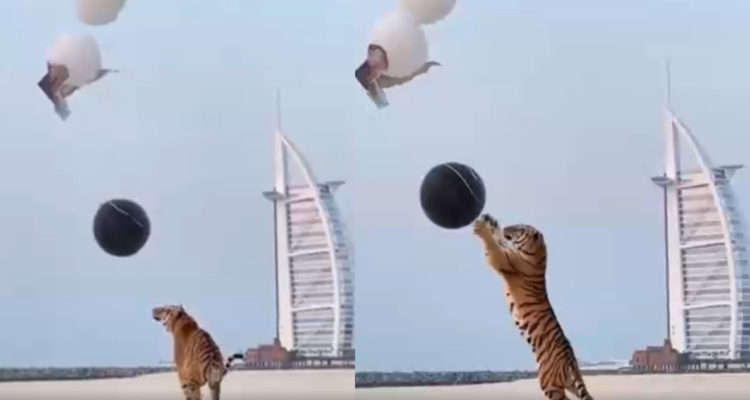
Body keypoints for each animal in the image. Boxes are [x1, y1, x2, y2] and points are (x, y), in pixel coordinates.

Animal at [473, 214, 593, 400]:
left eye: (519, 228)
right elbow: (499, 239)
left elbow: (493, 246)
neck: (538, 252)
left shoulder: (504, 258)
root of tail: (571, 360)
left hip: (549, 385)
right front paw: (491, 222)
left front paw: (482, 228)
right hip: (571, 384)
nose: (506, 227)